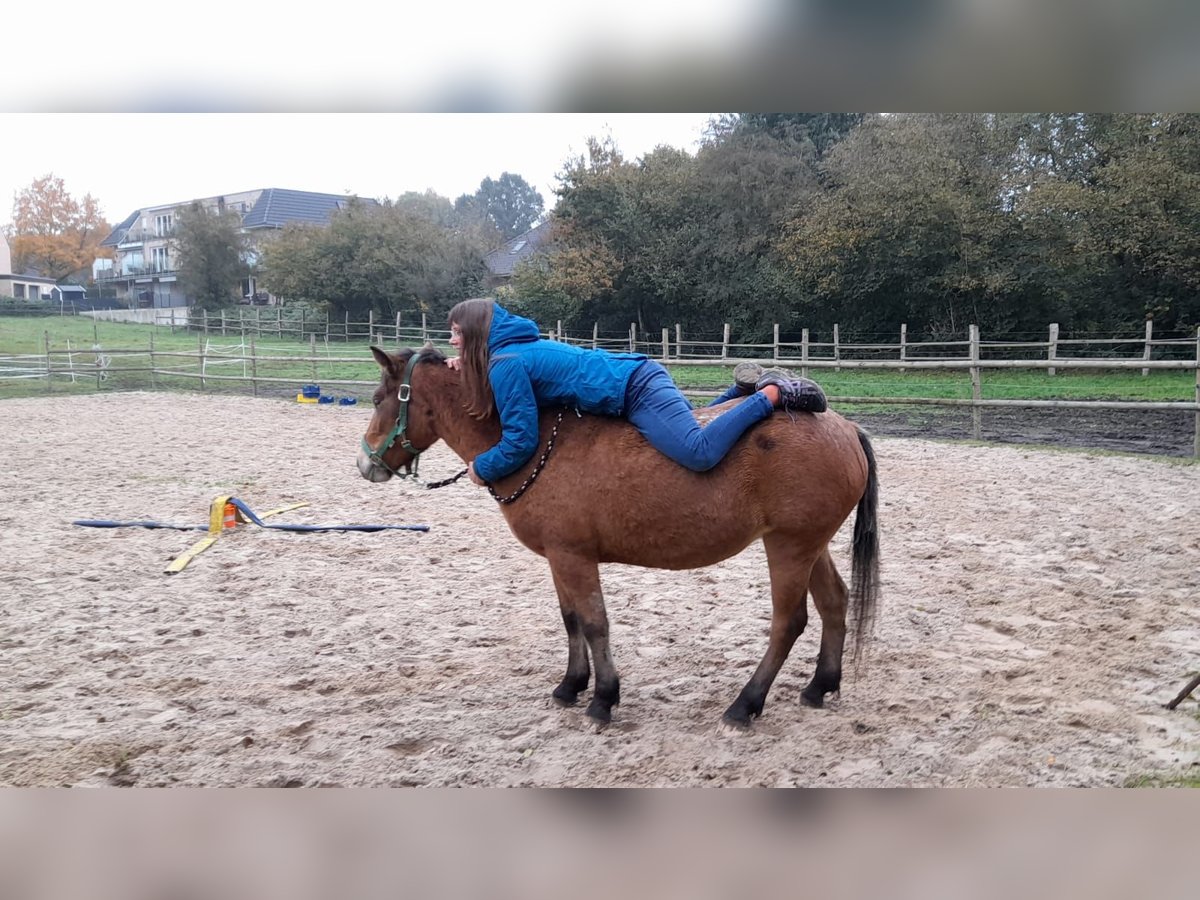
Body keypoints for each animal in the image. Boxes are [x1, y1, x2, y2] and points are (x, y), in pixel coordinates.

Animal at [355, 340, 883, 729]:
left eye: (381, 399)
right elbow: (571, 620)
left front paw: (603, 699)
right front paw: (571, 686)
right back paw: (819, 687)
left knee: (788, 622)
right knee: (834, 602)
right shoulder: (560, 558)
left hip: (789, 546)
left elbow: (594, 624)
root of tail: (846, 427)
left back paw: (744, 705)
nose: (364, 464)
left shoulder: (574, 557)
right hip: (809, 545)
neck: (538, 443)